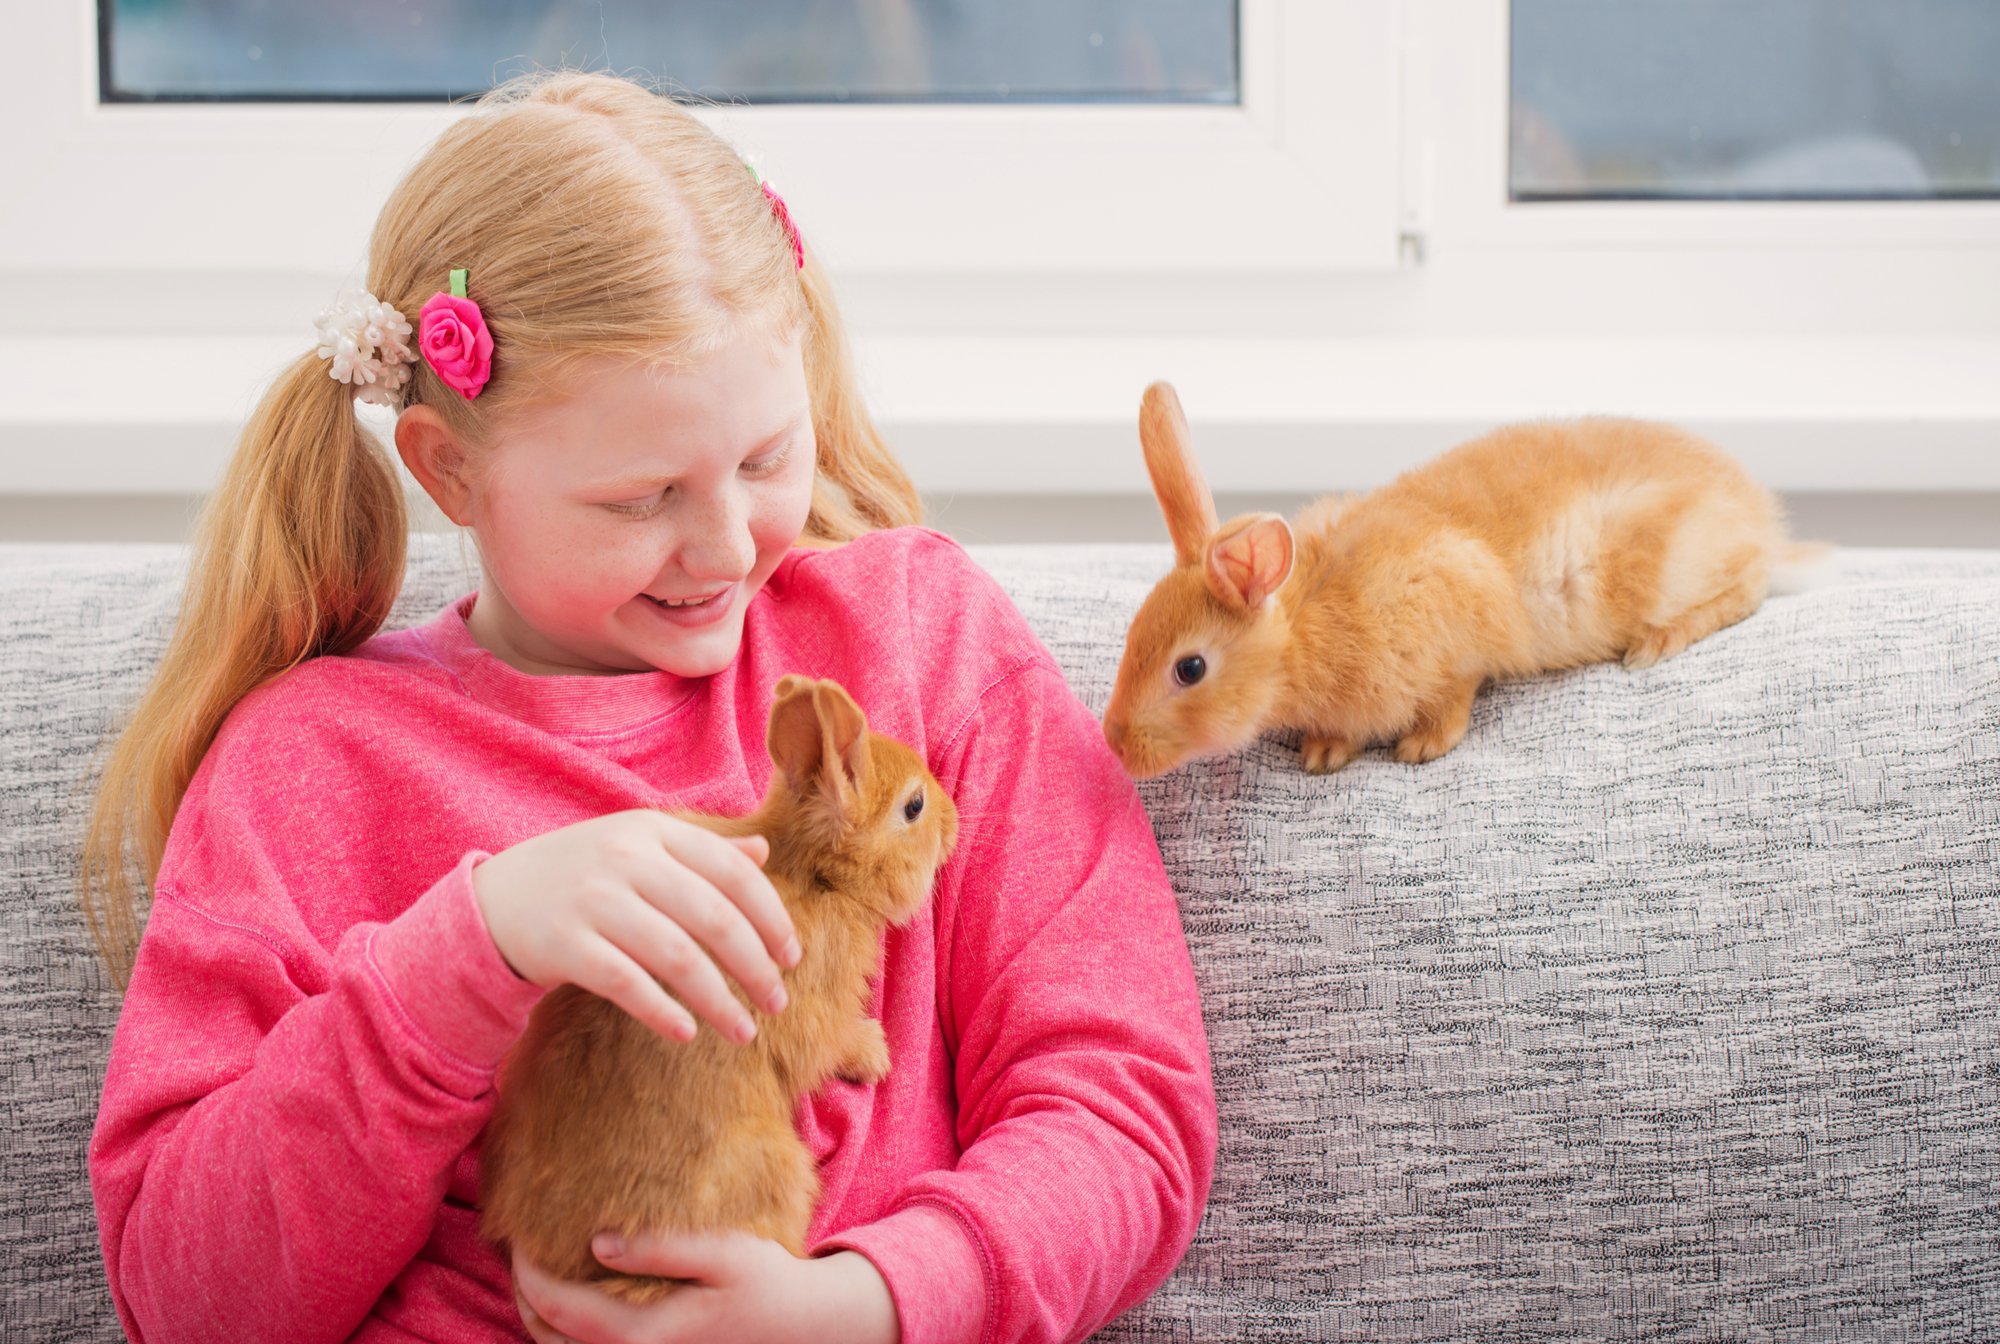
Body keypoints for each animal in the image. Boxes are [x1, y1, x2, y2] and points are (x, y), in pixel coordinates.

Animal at [479, 674, 959, 1304]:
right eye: (914, 807)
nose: (954, 817)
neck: (818, 873)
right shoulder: (811, 1013)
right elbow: (831, 1046)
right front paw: (874, 1054)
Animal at [1103, 381, 1811, 778]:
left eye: (1189, 668)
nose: (1116, 745)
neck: (1306, 627)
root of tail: (1753, 508)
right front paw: (1325, 751)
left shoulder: (1449, 625)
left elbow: (1455, 694)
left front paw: (1420, 748)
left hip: (1663, 566)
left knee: (1750, 582)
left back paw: (1656, 644)